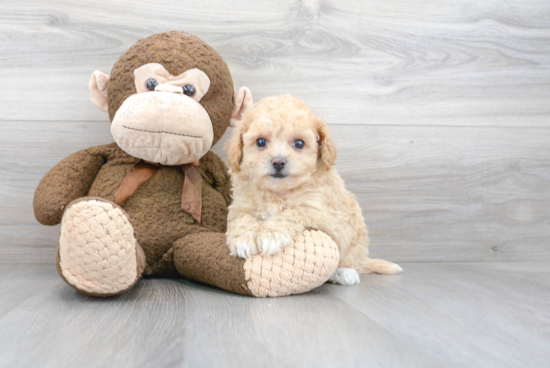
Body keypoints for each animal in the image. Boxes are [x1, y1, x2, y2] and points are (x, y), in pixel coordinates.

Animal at [226, 95, 404, 284]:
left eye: (299, 143)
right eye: (260, 142)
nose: (278, 162)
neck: (278, 192)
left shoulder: (319, 211)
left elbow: (293, 212)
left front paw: (271, 234)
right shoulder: (240, 206)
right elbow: (242, 218)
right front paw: (242, 239)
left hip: (357, 237)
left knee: (352, 259)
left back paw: (345, 272)